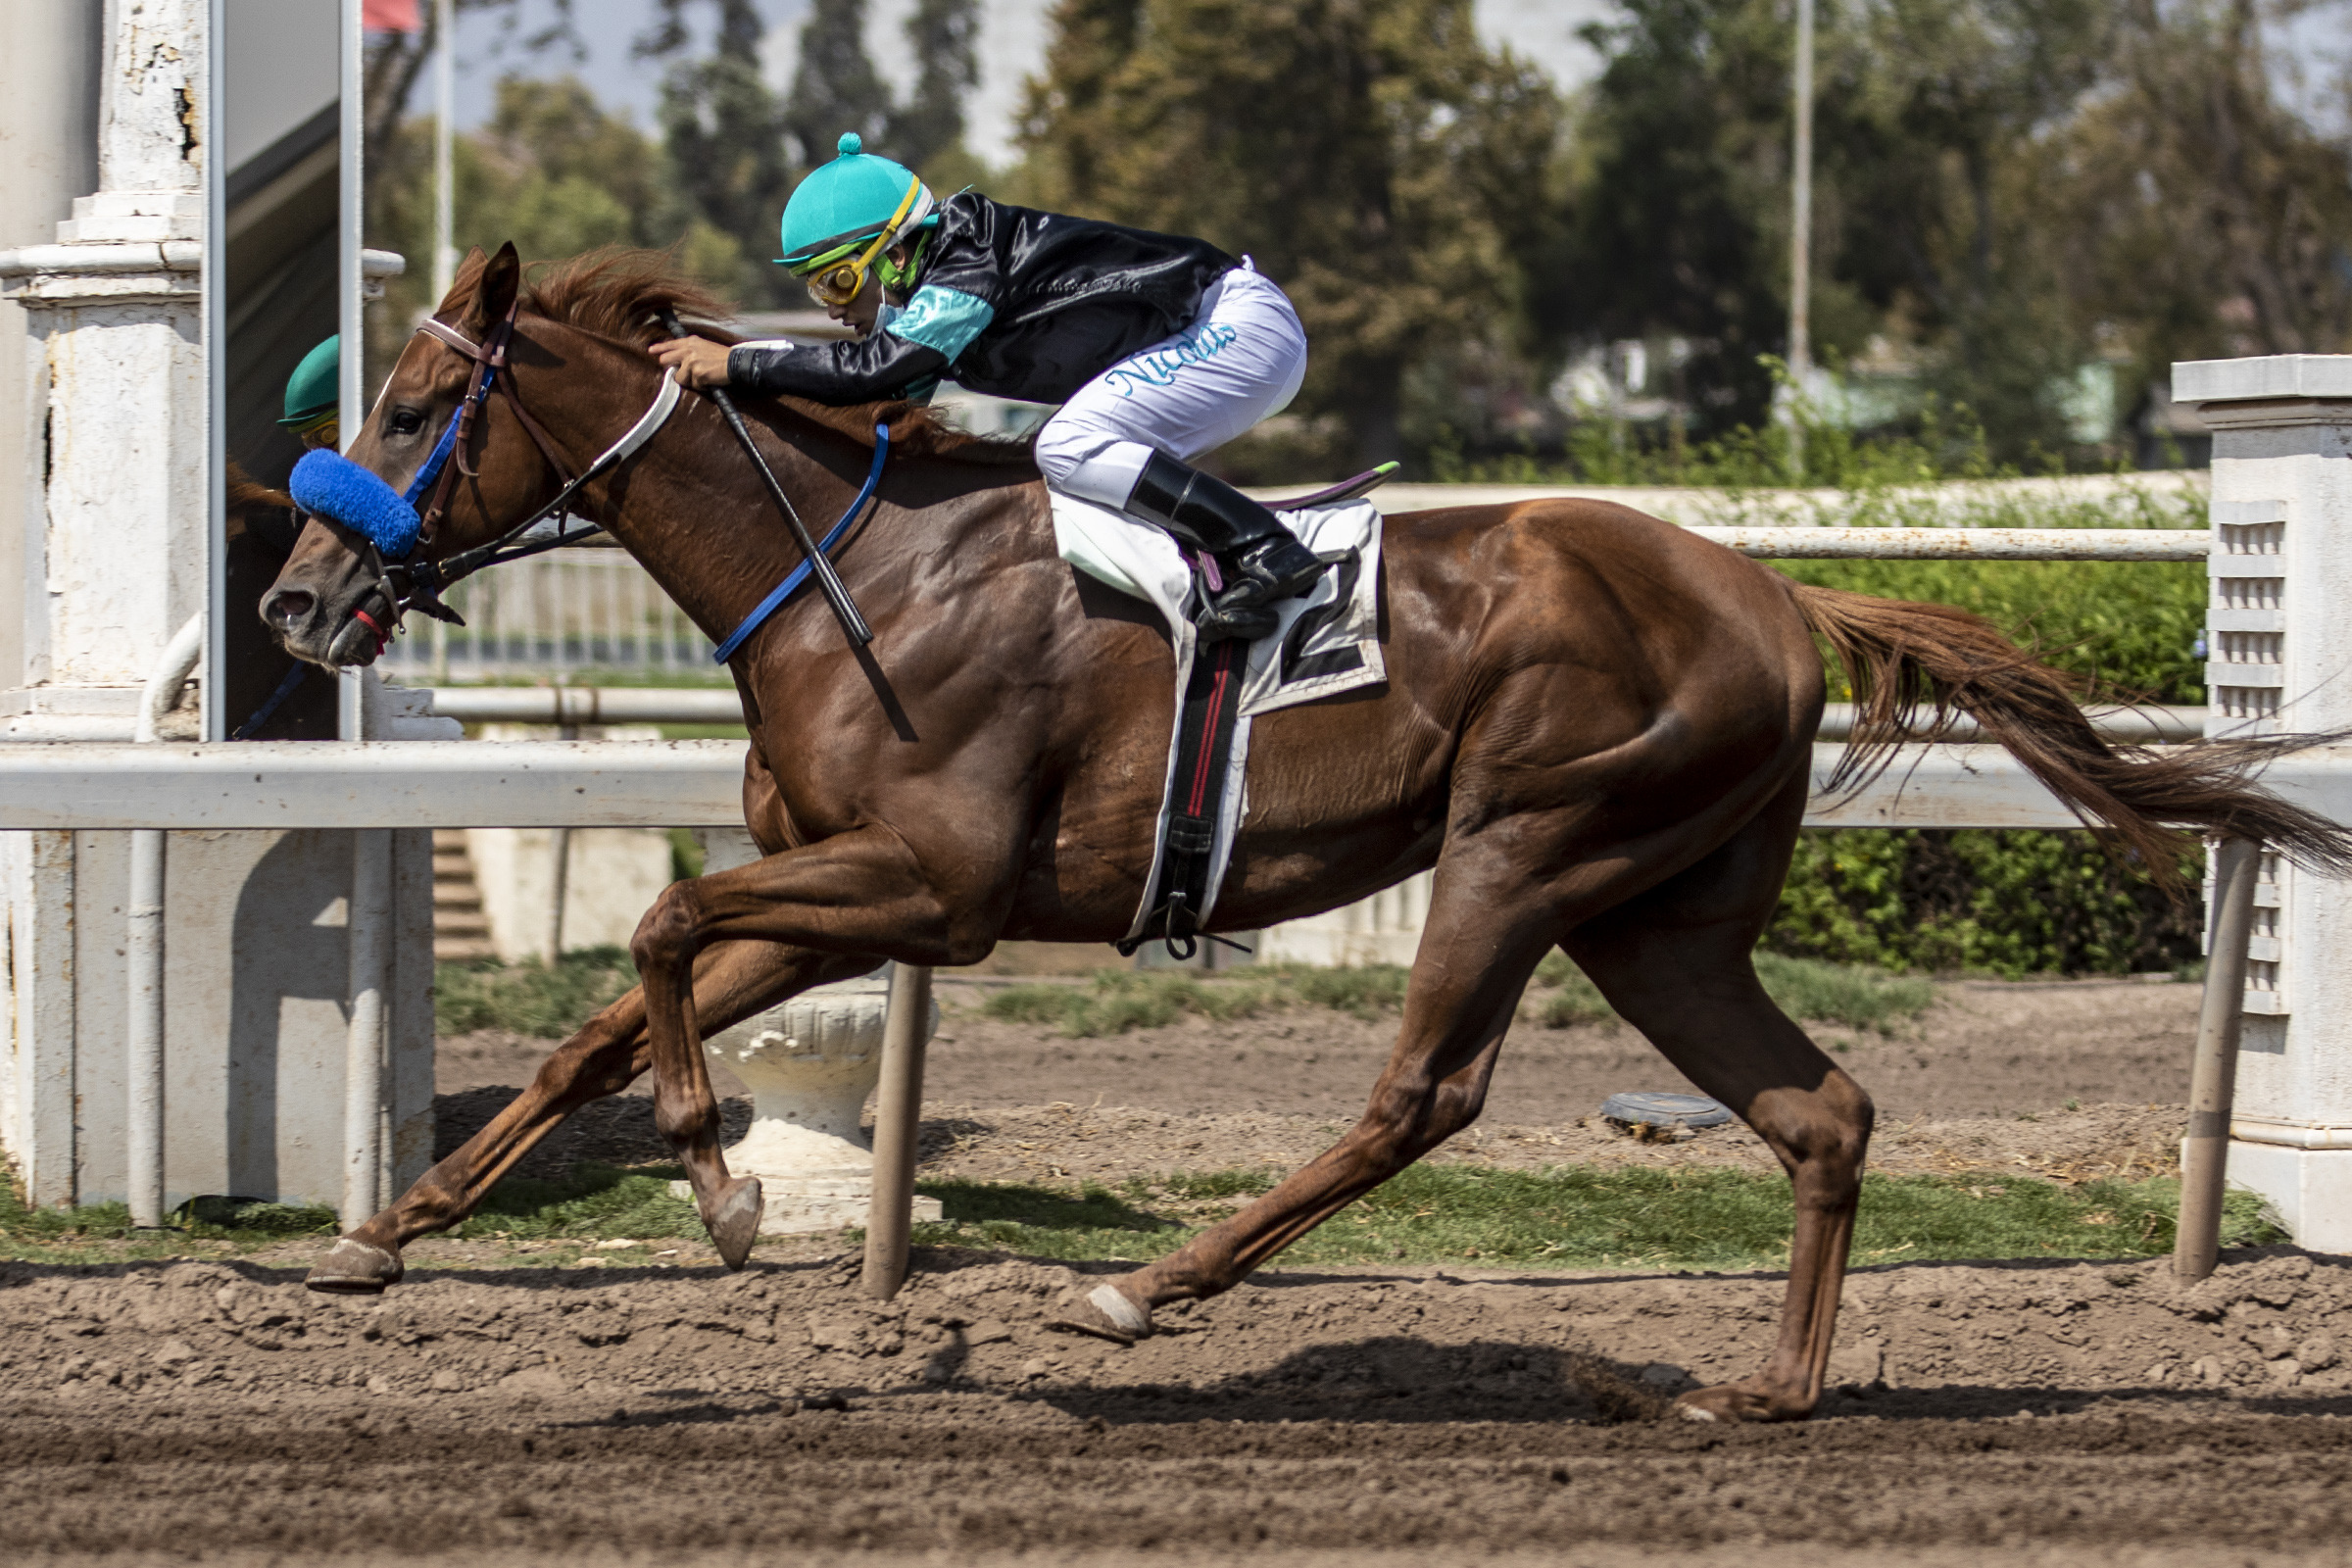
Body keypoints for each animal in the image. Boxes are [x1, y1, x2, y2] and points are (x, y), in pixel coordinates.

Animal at [259, 243, 2351, 1422]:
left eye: (421, 401)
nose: (295, 601)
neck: (856, 567)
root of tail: (1774, 591)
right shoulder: (856, 886)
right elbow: (617, 1003)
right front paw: (382, 1239)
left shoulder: (935, 885)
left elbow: (661, 940)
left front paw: (722, 1192)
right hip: (1658, 913)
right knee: (1819, 1111)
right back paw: (1766, 1394)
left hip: (1530, 842)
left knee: (1423, 1094)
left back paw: (1144, 1289)